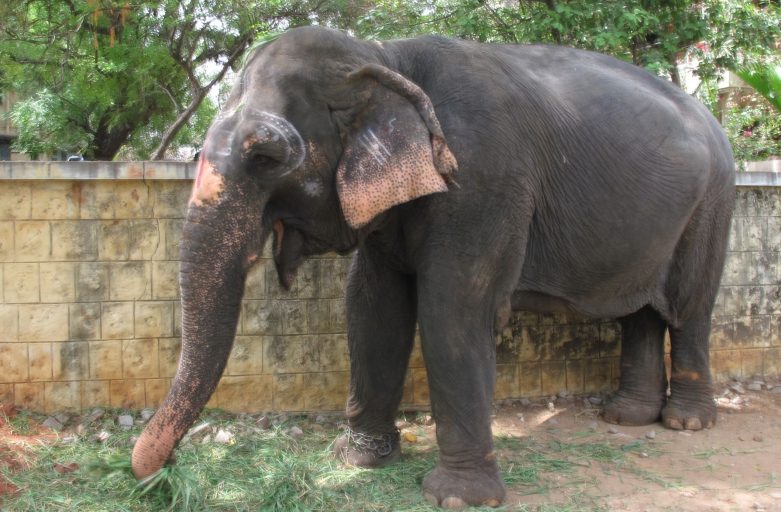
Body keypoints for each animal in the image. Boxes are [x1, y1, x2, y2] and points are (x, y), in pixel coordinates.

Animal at [131, 26, 735, 508]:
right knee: (643, 310)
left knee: (690, 307)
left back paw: (685, 422)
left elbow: (452, 309)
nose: (165, 474)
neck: (384, 58)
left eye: (265, 157)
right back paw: (625, 417)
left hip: (715, 201)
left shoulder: (482, 177)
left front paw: (458, 497)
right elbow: (372, 306)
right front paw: (356, 461)